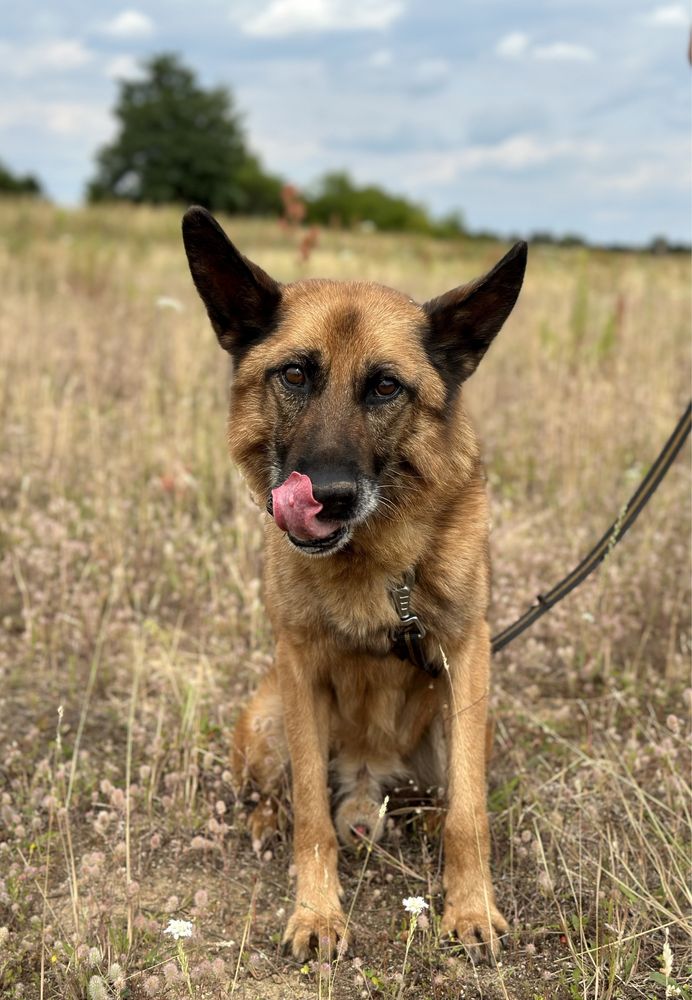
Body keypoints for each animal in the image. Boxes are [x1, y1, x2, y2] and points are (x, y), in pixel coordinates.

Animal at [181, 209, 528, 960]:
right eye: (294, 375)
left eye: (386, 387)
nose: (329, 496)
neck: (374, 562)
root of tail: (370, 774)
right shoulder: (301, 669)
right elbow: (314, 815)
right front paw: (316, 914)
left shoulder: (466, 654)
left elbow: (470, 814)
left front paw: (471, 908)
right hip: (268, 714)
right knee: (281, 796)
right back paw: (268, 821)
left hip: (461, 723)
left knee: (446, 797)